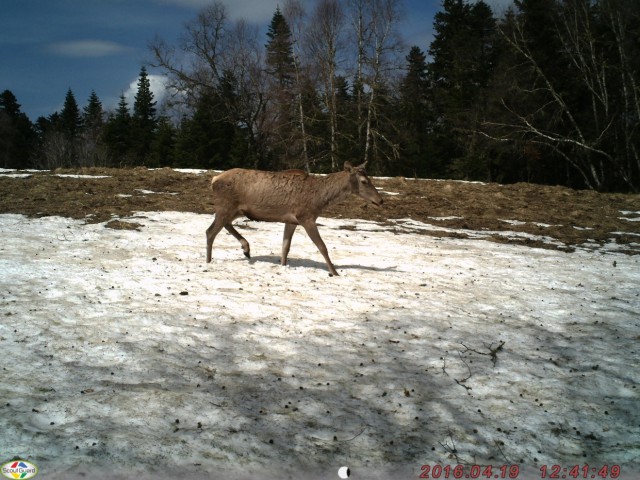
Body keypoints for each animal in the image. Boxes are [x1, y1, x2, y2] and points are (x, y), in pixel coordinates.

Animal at [208, 161, 382, 276]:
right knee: (210, 231)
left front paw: (283, 266)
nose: (380, 200)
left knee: (225, 225)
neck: (320, 200)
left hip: (236, 210)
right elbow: (322, 246)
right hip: (226, 206)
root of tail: (214, 180)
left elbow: (285, 246)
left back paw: (246, 248)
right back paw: (209, 261)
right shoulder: (306, 217)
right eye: (364, 181)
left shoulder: (291, 220)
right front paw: (334, 272)